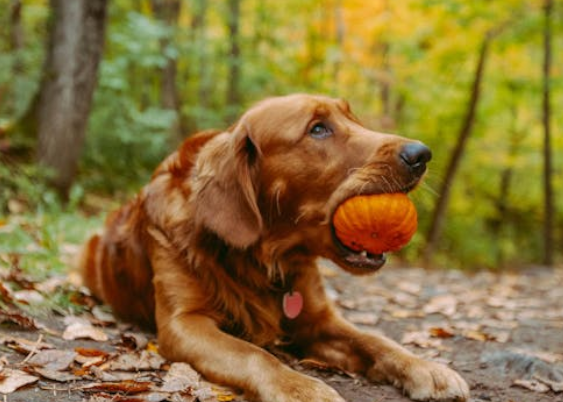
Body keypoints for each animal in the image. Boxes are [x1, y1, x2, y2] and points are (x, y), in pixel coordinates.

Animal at [81, 95, 472, 402]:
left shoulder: (319, 320)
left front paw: (426, 368)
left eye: (354, 118)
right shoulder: (184, 323)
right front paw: (302, 389)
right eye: (318, 129)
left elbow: (374, 339)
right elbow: (253, 354)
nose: (421, 154)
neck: (267, 258)